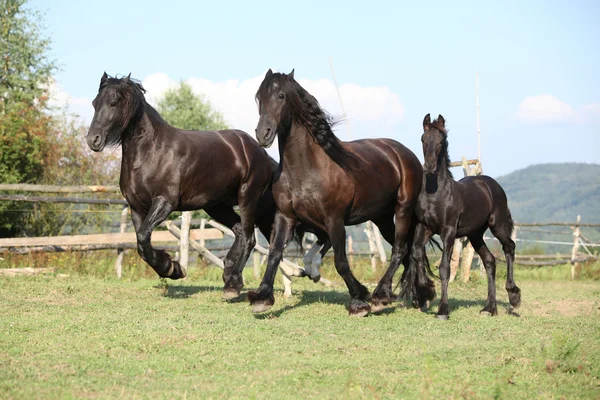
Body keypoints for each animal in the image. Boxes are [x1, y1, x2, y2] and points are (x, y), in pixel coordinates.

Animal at [85, 72, 328, 296]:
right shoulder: (136, 207)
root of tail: (258, 150)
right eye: (95, 103)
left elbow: (144, 238)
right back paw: (230, 274)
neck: (150, 152)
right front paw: (173, 268)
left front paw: (172, 268)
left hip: (247, 198)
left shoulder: (164, 202)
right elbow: (141, 244)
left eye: (113, 103)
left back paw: (234, 283)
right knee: (240, 232)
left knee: (249, 238)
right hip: (217, 206)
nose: (93, 140)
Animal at [246, 70, 434, 318]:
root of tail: (404, 153)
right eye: (259, 97)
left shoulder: (334, 220)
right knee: (407, 251)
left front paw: (359, 301)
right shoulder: (285, 216)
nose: (263, 134)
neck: (306, 170)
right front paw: (262, 297)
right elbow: (275, 252)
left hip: (403, 209)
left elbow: (341, 262)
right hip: (382, 217)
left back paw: (381, 296)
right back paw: (420, 296)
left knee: (400, 249)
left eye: (281, 96)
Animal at [408, 114, 520, 320]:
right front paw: (427, 292)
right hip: (475, 234)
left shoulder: (448, 232)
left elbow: (445, 268)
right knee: (489, 261)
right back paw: (489, 308)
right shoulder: (424, 227)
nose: (429, 166)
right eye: (423, 139)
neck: (436, 194)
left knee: (509, 247)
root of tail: (491, 184)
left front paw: (442, 310)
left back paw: (514, 297)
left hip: (498, 225)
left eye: (441, 141)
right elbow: (417, 253)